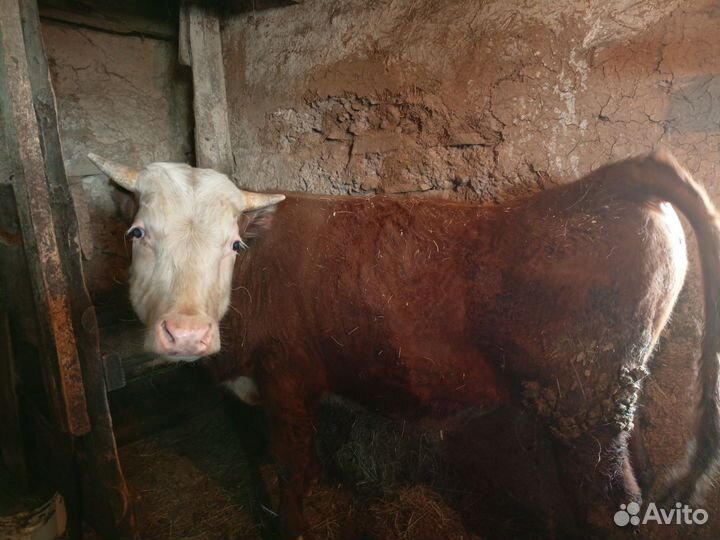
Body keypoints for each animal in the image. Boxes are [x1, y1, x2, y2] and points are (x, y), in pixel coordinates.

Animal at [88, 150, 720, 539]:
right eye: (137, 233)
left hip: (579, 408)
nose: (187, 332)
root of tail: (609, 181)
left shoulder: (286, 377)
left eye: (234, 245)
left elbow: (293, 470)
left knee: (605, 504)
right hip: (615, 402)